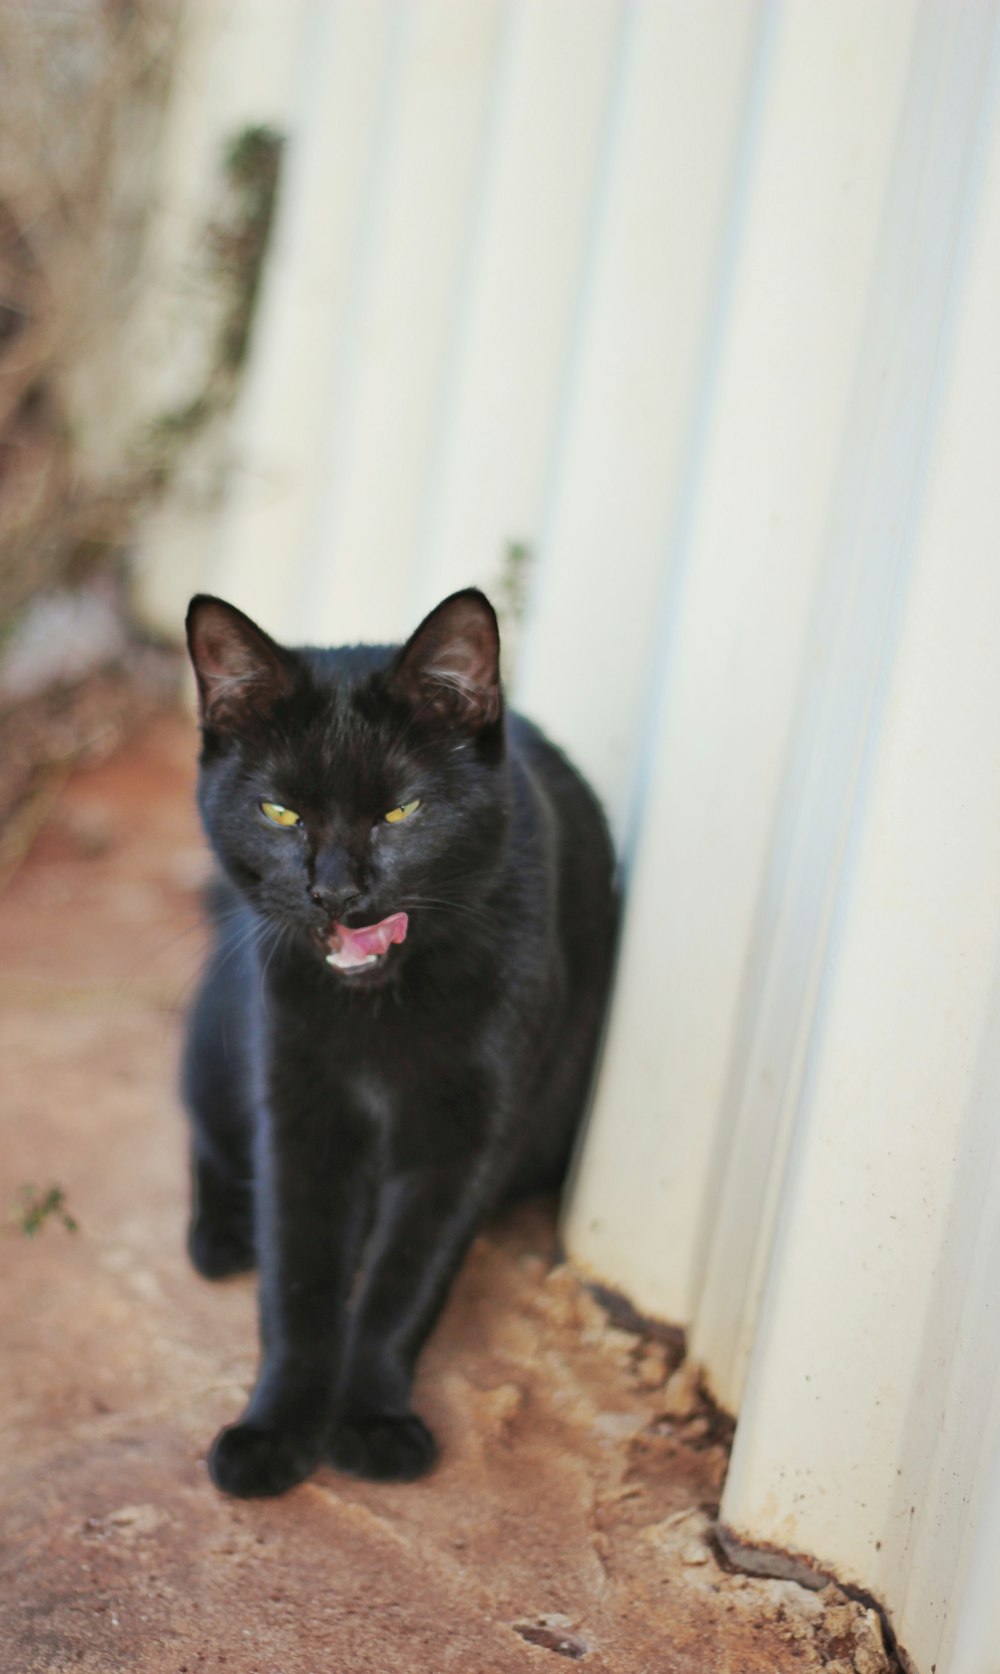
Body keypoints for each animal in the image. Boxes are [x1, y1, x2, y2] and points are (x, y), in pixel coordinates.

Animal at [182, 592, 613, 1506]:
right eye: (281, 812)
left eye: (401, 812)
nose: (336, 891)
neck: (380, 1014)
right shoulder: (298, 1115)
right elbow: (298, 1282)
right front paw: (274, 1430)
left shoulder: (470, 1138)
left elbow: (404, 1282)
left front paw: (372, 1421)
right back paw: (224, 1237)